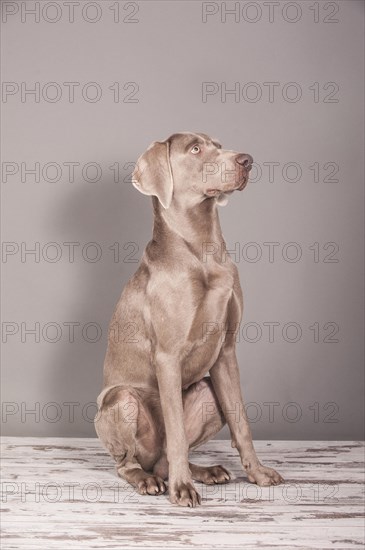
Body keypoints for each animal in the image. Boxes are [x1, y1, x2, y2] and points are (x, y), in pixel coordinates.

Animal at [93, 130, 282, 508]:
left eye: (219, 145)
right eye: (195, 149)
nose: (247, 160)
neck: (202, 250)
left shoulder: (226, 352)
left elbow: (242, 423)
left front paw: (257, 473)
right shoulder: (167, 356)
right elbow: (177, 432)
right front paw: (182, 489)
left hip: (208, 393)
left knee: (165, 459)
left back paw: (204, 471)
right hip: (120, 401)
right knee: (130, 463)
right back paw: (150, 480)